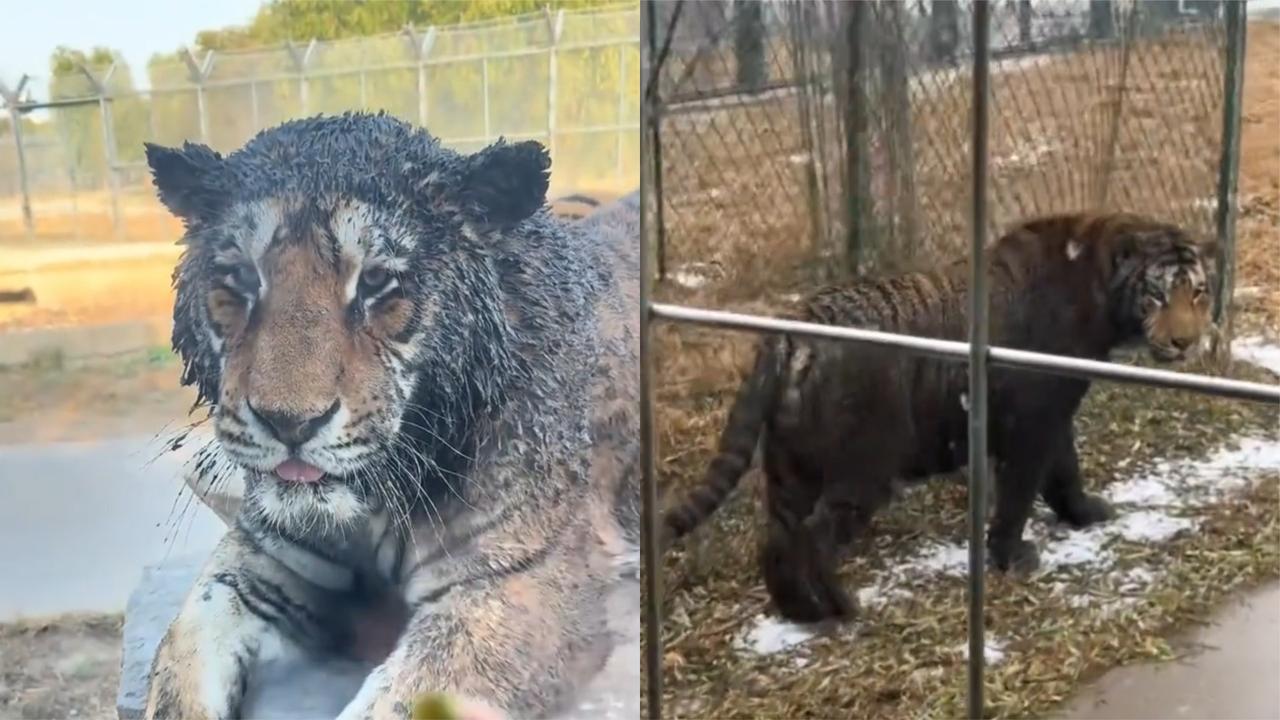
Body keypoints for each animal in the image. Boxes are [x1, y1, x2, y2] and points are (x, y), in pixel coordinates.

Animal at [141, 112, 639, 719]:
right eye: (242, 278)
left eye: (376, 282)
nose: (289, 423)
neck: (377, 500)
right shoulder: (261, 557)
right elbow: (181, 652)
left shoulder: (514, 581)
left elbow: (394, 702)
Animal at [660, 212, 1217, 623]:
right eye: (1157, 295)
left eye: (1198, 292)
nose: (1184, 342)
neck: (1099, 285)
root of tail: (791, 331)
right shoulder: (1036, 420)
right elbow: (1021, 493)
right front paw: (1012, 557)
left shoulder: (1053, 414)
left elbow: (1065, 473)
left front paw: (1085, 514)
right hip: (865, 469)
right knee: (815, 537)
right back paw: (843, 609)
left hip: (790, 467)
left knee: (776, 537)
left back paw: (801, 614)